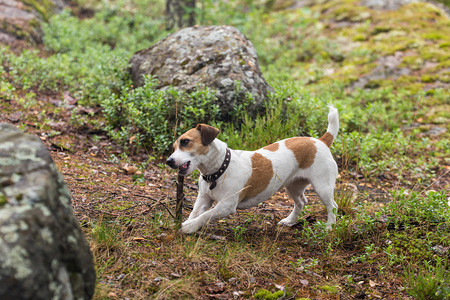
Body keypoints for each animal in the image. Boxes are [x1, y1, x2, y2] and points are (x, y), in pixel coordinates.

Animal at [167, 106, 340, 234]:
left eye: (185, 142)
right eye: (174, 147)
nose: (169, 161)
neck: (220, 168)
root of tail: (321, 141)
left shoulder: (226, 205)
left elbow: (205, 216)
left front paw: (189, 227)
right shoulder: (204, 199)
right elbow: (195, 213)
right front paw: (187, 222)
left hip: (322, 187)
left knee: (333, 206)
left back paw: (329, 227)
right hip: (293, 186)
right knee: (301, 202)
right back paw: (290, 221)